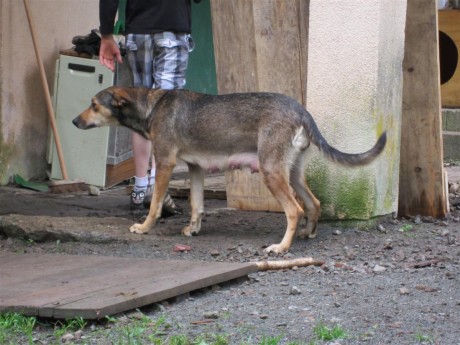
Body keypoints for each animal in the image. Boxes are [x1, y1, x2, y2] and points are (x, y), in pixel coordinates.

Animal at [73, 86, 388, 253]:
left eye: (93, 105)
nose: (75, 121)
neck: (152, 105)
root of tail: (300, 110)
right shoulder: (195, 168)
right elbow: (197, 204)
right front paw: (193, 229)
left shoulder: (164, 164)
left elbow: (155, 205)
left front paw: (144, 227)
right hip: (292, 173)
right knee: (314, 203)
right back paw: (307, 234)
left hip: (271, 173)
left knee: (294, 209)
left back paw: (282, 247)